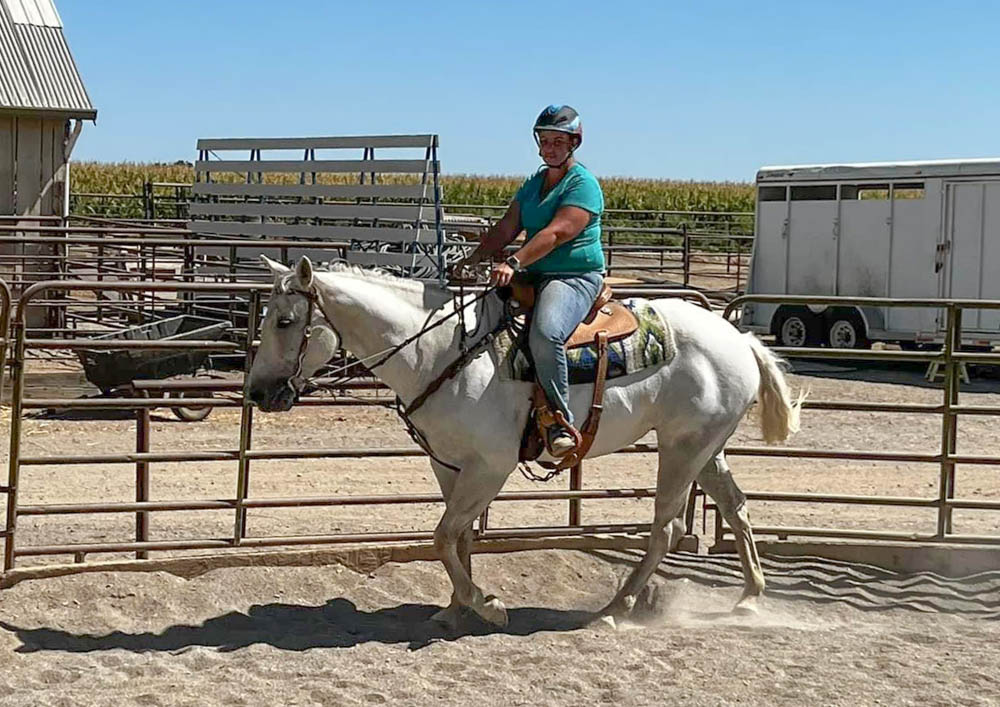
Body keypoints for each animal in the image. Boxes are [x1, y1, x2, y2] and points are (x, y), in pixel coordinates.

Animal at [250, 258, 804, 628]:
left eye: (285, 321)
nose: (257, 393)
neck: (439, 353)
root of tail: (738, 337)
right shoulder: (449, 464)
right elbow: (459, 537)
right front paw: (455, 610)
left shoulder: (489, 467)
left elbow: (443, 536)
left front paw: (488, 606)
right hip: (706, 447)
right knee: (735, 507)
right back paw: (750, 597)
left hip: (682, 449)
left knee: (668, 529)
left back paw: (615, 609)